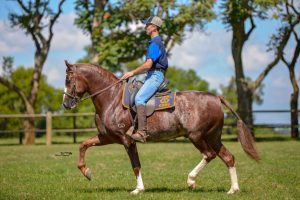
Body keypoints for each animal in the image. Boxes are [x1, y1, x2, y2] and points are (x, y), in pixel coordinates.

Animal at [62, 60, 258, 194]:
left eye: (69, 80)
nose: (65, 104)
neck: (112, 98)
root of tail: (216, 97)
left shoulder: (127, 140)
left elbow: (135, 165)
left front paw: (138, 189)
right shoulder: (107, 137)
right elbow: (83, 145)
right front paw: (87, 172)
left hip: (196, 136)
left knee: (209, 155)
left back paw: (191, 181)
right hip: (213, 136)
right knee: (228, 158)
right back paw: (233, 189)